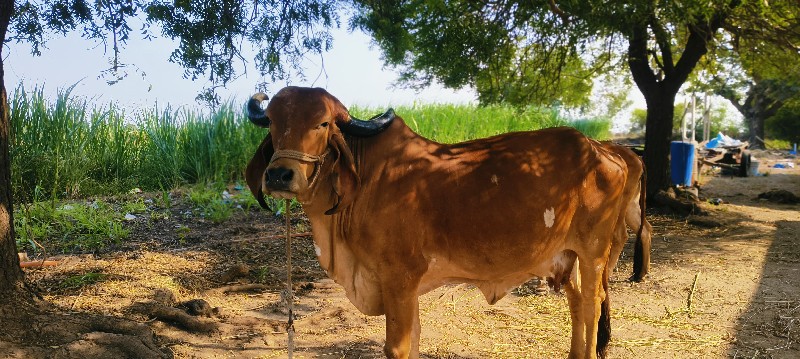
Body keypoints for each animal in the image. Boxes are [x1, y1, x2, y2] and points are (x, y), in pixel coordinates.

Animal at [244, 87, 632, 359]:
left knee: (592, 305)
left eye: (323, 123)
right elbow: (414, 339)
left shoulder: (399, 278)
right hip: (568, 256)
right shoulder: (405, 286)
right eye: (274, 122)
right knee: (578, 304)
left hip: (593, 252)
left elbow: (398, 347)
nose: (279, 175)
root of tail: (606, 151)